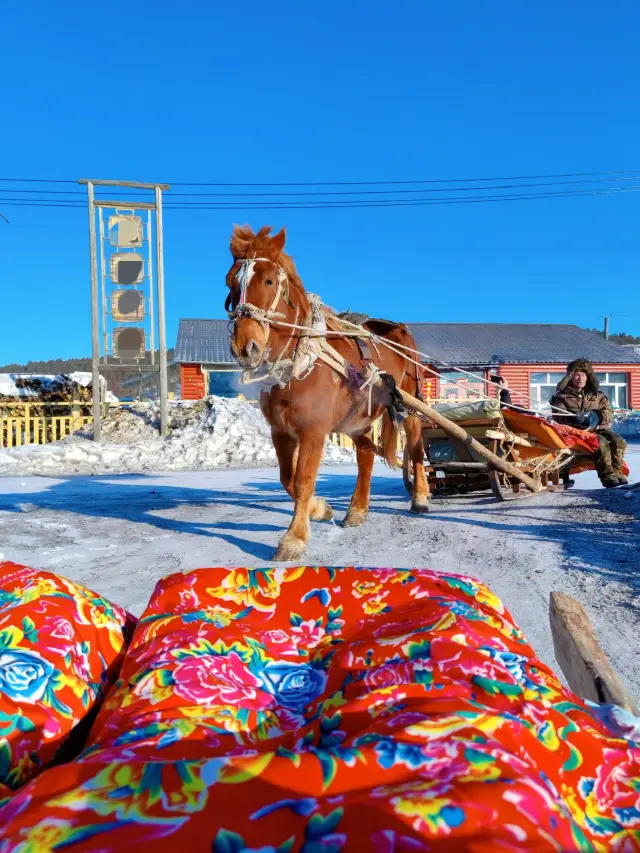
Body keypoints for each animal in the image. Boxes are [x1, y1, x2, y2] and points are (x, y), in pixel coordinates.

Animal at [226, 226, 430, 560]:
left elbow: (303, 480)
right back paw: (357, 509)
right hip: (358, 417)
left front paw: (293, 538)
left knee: (414, 450)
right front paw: (320, 509)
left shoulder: (314, 429)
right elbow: (287, 479)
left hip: (412, 404)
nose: (246, 347)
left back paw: (421, 497)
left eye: (269, 281)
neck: (301, 362)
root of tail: (400, 328)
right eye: (230, 283)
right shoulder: (280, 430)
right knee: (365, 457)